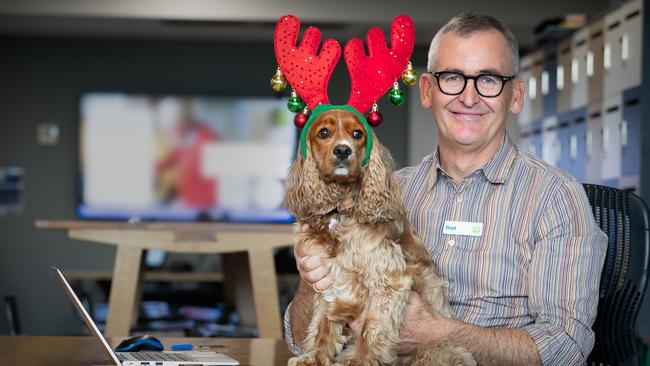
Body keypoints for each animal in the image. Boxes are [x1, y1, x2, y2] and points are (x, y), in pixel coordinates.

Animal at [280, 109, 474, 366]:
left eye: (357, 134)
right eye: (324, 132)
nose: (343, 150)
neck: (341, 210)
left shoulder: (388, 280)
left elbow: (371, 329)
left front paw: (358, 360)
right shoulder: (330, 276)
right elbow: (323, 322)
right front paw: (315, 356)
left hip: (433, 351)